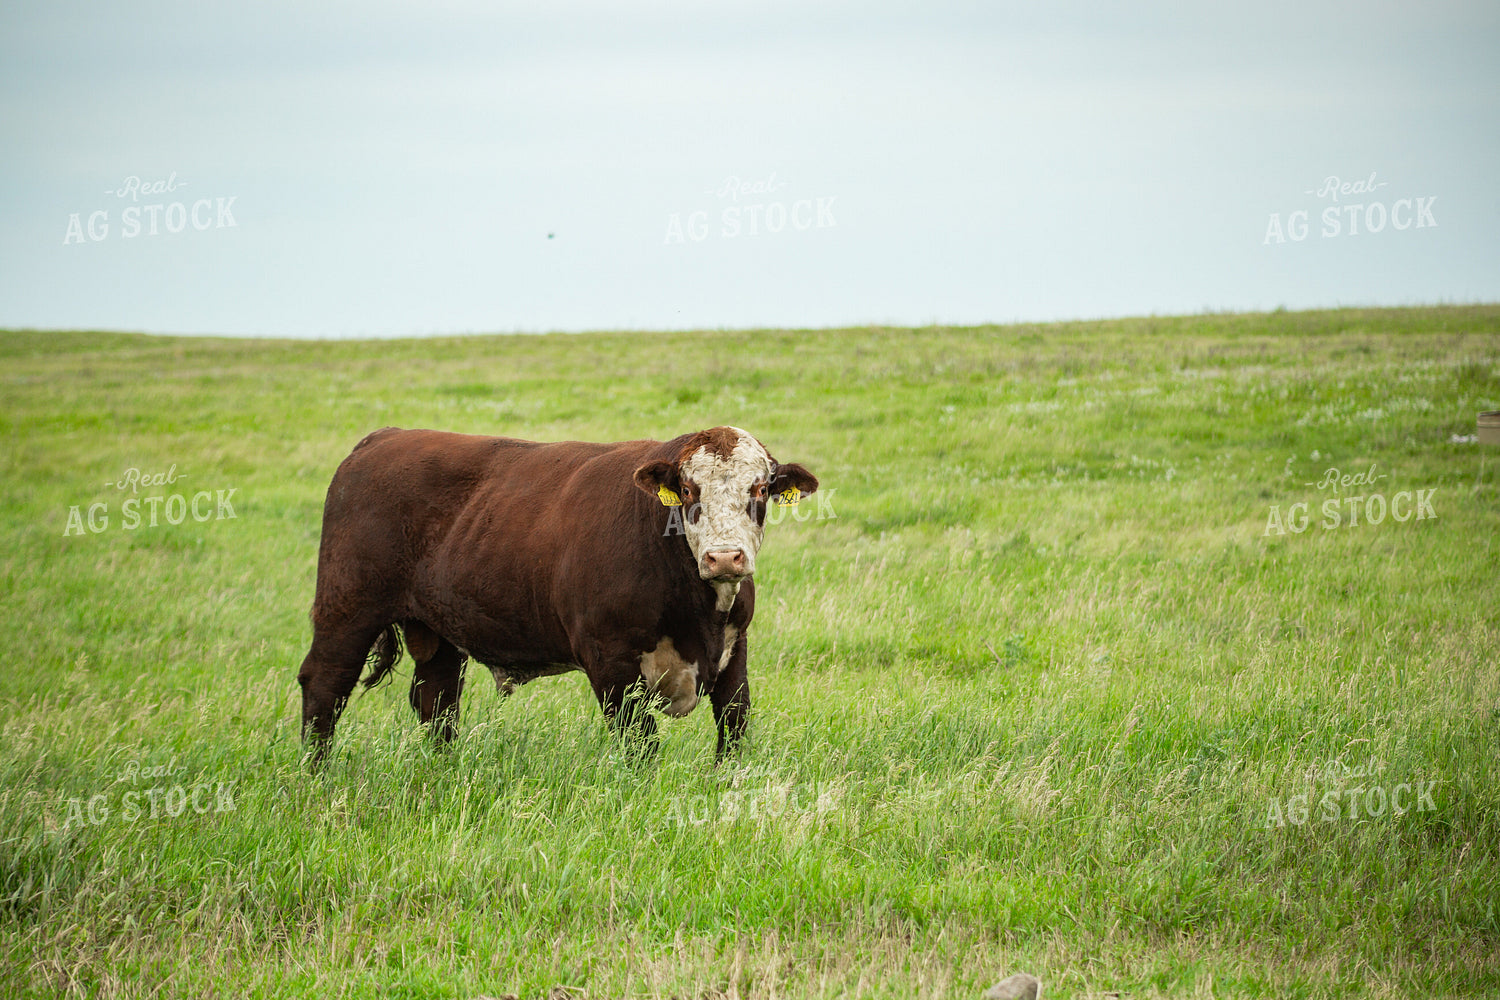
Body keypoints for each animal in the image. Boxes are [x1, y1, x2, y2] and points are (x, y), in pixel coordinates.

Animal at [296, 425, 818, 764]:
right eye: (689, 490)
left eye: (760, 488)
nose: (725, 558)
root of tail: (382, 438)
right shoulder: (610, 659)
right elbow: (640, 744)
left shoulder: (734, 648)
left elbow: (733, 726)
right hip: (347, 607)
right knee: (324, 684)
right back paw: (316, 774)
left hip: (438, 628)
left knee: (436, 697)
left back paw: (443, 768)